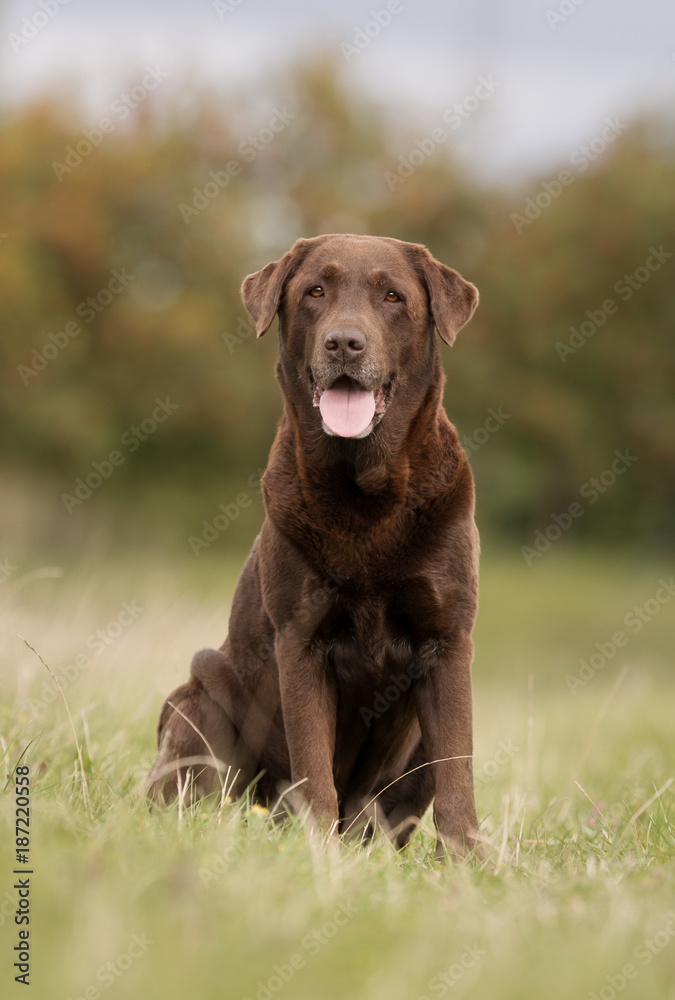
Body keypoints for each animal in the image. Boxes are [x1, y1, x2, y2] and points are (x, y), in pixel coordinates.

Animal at [146, 234, 484, 860]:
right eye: (315, 291)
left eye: (393, 296)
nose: (345, 342)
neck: (364, 493)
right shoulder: (300, 640)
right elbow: (313, 766)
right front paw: (317, 854)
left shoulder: (447, 640)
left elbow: (457, 770)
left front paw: (468, 862)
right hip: (200, 697)